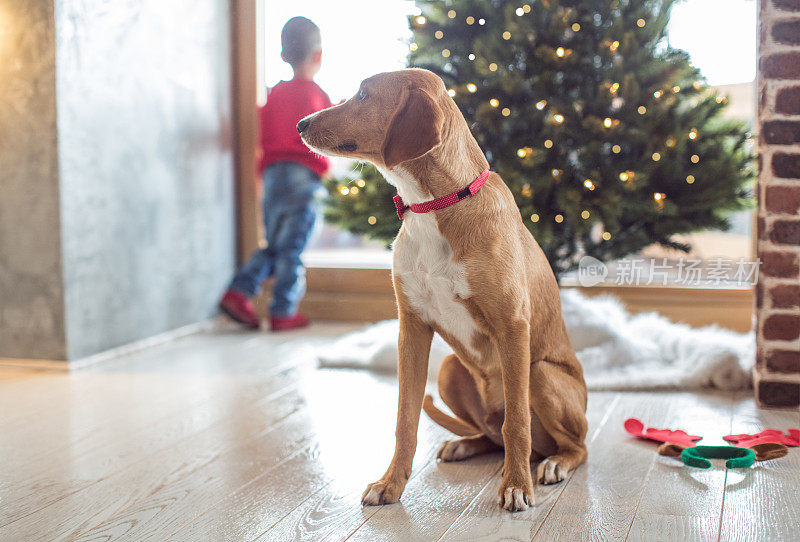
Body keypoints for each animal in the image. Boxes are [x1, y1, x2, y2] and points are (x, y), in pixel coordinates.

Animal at [300, 69, 588, 516]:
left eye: (364, 94)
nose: (300, 124)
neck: (432, 206)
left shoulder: (512, 326)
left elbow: (517, 423)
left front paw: (515, 486)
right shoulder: (412, 329)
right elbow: (405, 420)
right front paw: (391, 484)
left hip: (539, 373)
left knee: (568, 444)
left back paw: (554, 463)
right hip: (452, 368)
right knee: (491, 433)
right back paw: (465, 444)